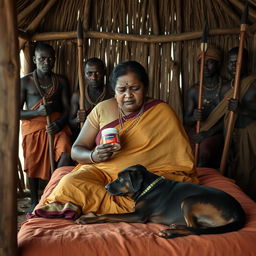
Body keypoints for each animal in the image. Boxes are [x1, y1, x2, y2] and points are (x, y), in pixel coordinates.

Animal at [76, 164, 246, 238]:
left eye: (120, 179)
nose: (106, 187)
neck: (147, 187)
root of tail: (239, 213)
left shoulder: (138, 216)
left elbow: (109, 215)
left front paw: (86, 219)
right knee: (198, 227)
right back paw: (175, 226)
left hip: (189, 201)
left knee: (195, 229)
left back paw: (170, 232)